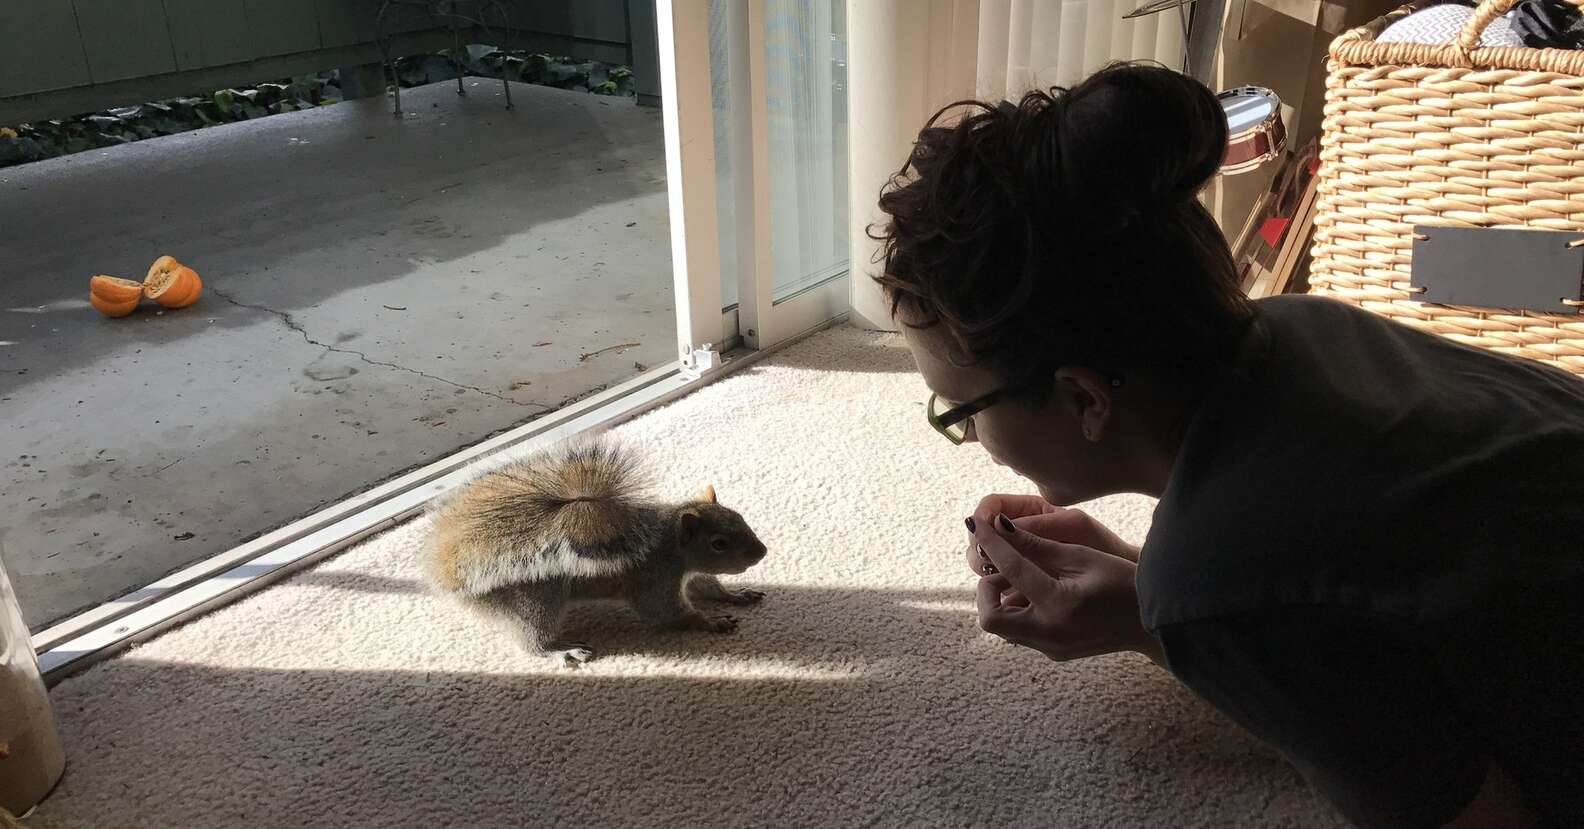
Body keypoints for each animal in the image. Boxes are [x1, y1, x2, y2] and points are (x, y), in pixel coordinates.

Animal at [421, 440, 766, 668]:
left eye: (738, 516)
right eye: (718, 543)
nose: (762, 553)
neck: (672, 547)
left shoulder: (687, 575)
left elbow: (709, 586)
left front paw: (737, 595)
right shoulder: (655, 580)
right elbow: (668, 614)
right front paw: (711, 622)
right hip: (536, 600)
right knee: (532, 642)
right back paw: (562, 651)